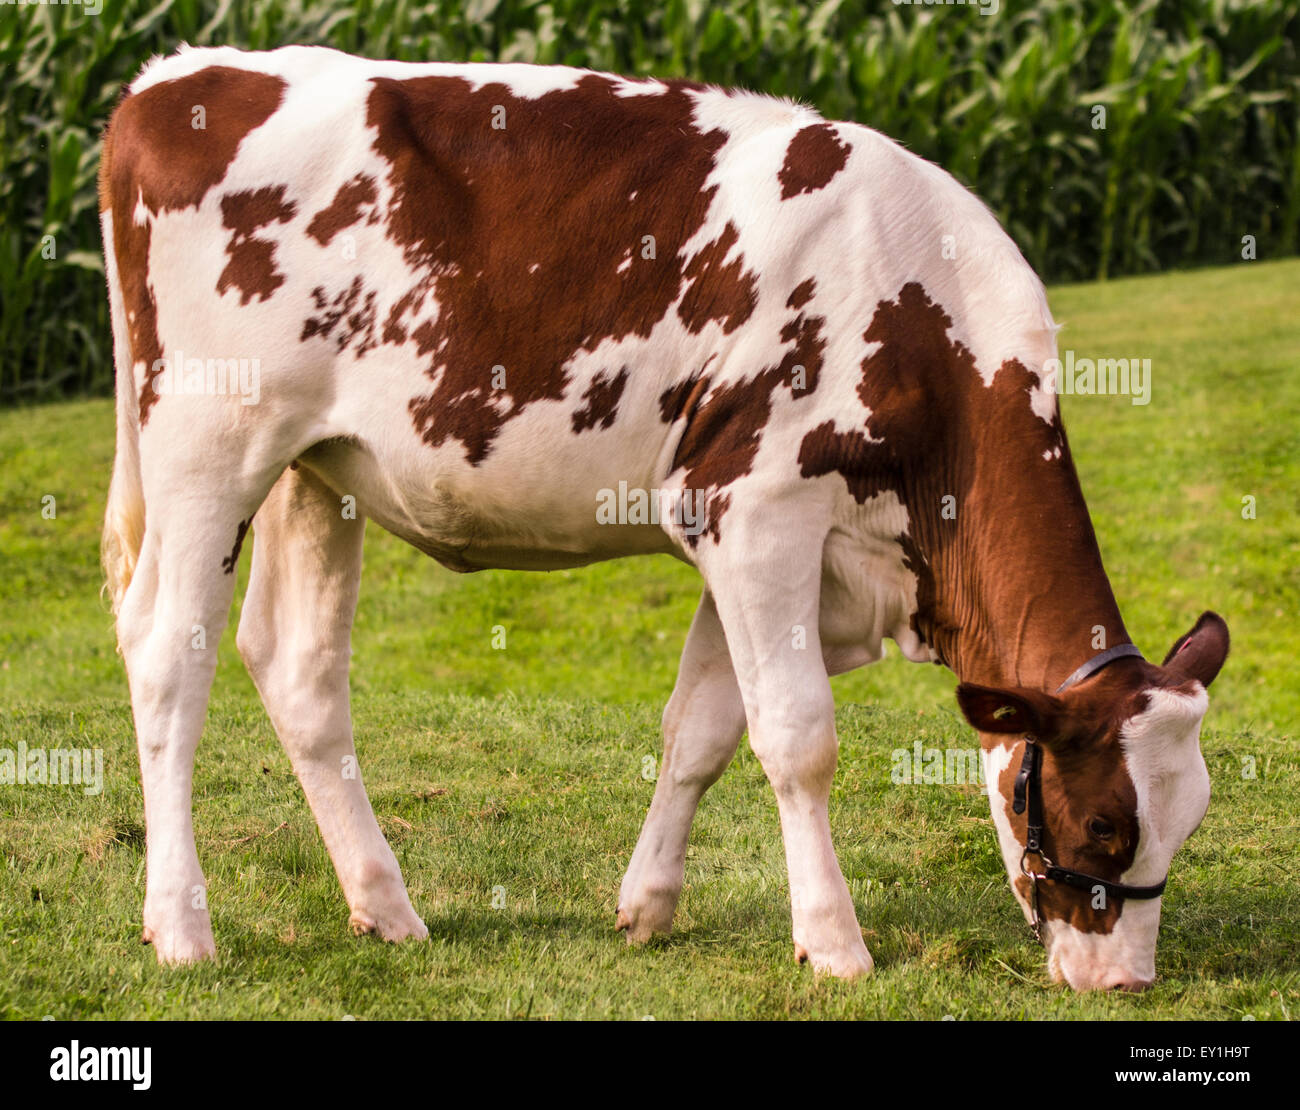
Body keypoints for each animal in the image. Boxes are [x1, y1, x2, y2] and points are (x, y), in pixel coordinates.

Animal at [101, 43, 1227, 993]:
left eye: (1187, 825)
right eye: (1103, 822)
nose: (1126, 982)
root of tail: (178, 75)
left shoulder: (766, 545)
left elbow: (702, 729)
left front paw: (647, 907)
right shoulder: (756, 509)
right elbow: (798, 738)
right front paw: (834, 944)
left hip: (315, 469)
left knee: (297, 668)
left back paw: (386, 908)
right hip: (208, 447)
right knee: (166, 654)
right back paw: (182, 928)